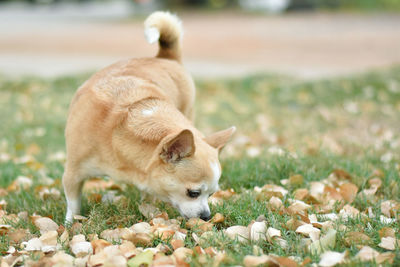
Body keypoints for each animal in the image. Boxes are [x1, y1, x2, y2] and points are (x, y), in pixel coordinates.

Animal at [61, 11, 234, 223]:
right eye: (193, 193)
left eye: (211, 194)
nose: (206, 216)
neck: (115, 135)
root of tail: (165, 57)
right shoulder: (73, 173)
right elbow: (73, 204)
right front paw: (69, 224)